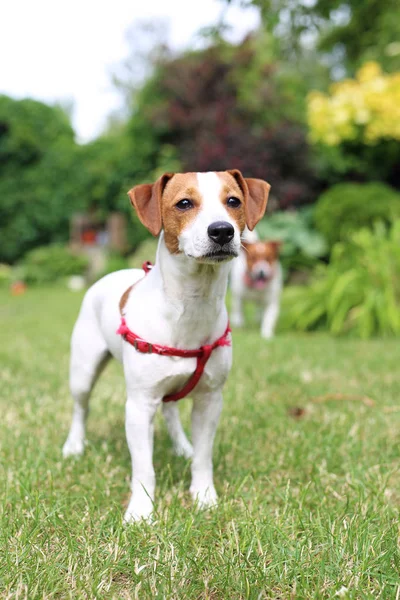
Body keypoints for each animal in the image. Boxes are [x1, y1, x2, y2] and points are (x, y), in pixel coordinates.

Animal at [63, 169, 268, 520]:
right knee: (81, 407)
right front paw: (141, 510)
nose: (222, 231)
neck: (190, 304)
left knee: (171, 411)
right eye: (184, 203)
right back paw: (74, 446)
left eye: (233, 201)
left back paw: (182, 446)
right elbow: (143, 467)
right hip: (84, 370)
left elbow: (204, 456)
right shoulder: (139, 404)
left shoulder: (210, 400)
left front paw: (204, 495)